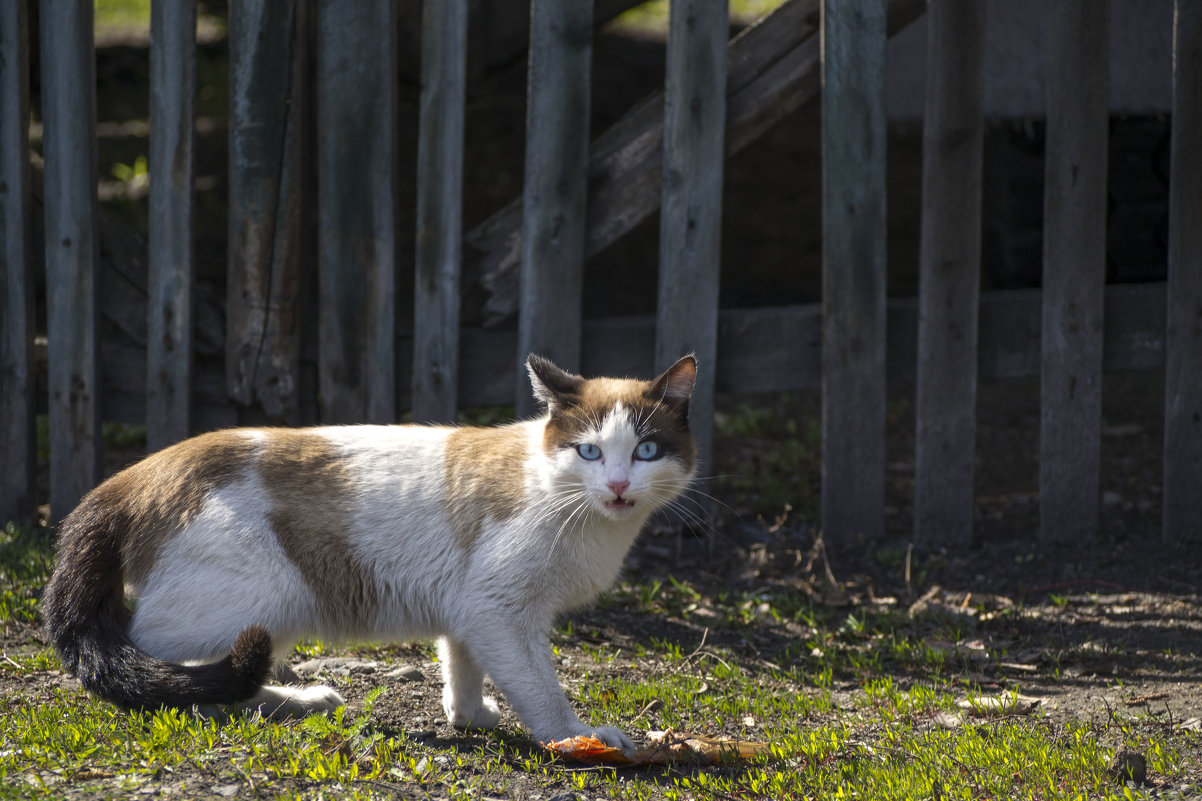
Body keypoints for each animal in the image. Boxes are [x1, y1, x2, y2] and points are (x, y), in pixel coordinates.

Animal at [42, 353, 701, 750]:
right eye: (590, 451)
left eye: (645, 450)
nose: (618, 485)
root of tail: (129, 477)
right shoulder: (502, 611)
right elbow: (542, 691)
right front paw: (574, 737)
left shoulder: (471, 612)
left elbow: (462, 667)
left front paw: (469, 717)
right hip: (265, 597)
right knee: (163, 672)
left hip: (272, 615)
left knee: (216, 679)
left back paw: (298, 701)